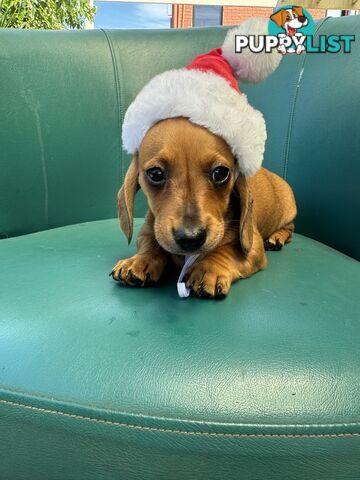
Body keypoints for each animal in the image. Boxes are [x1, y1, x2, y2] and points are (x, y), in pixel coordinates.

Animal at [111, 116, 296, 296]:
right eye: (155, 174)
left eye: (221, 173)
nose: (190, 238)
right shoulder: (148, 232)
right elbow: (151, 244)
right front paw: (140, 260)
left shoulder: (253, 245)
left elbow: (226, 251)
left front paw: (208, 268)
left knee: (290, 229)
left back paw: (276, 238)